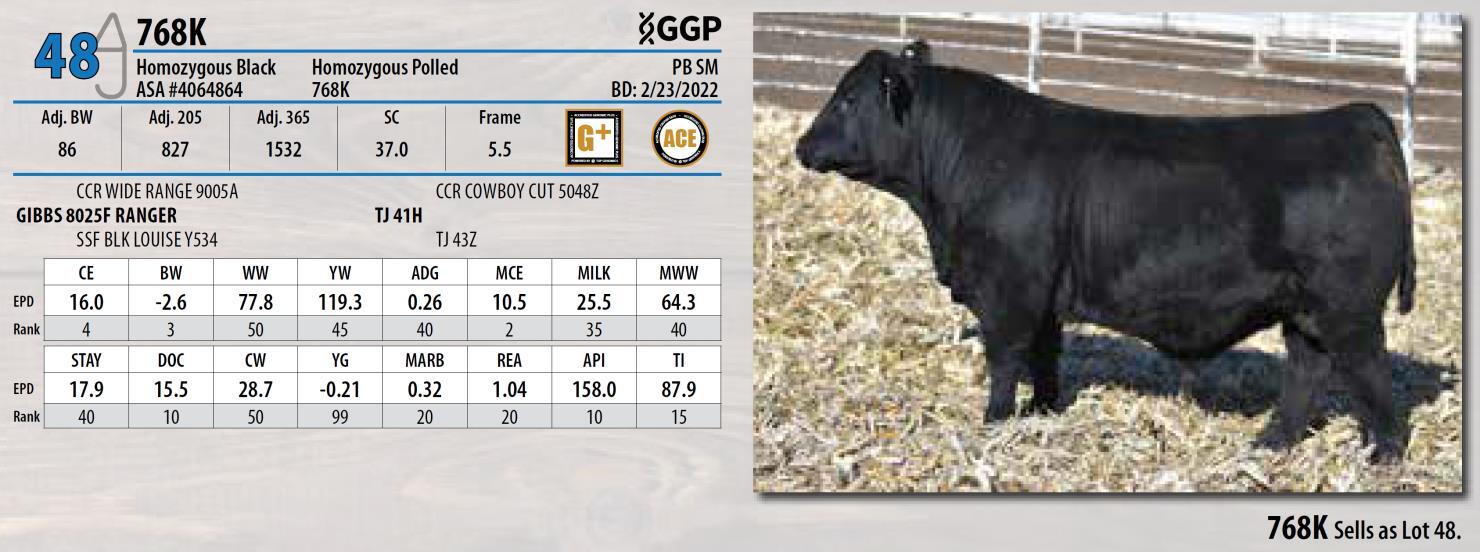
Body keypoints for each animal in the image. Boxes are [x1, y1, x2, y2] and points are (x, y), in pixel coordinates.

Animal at [794, 41, 1417, 463]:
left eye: (847, 100)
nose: (802, 145)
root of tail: (1356, 116)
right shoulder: (1041, 294)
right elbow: (1045, 355)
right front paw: (1041, 411)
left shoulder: (1009, 291)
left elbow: (1005, 360)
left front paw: (994, 422)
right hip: (1304, 309)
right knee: (1308, 372)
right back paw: (1273, 443)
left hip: (1349, 310)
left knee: (1369, 371)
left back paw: (1384, 453)